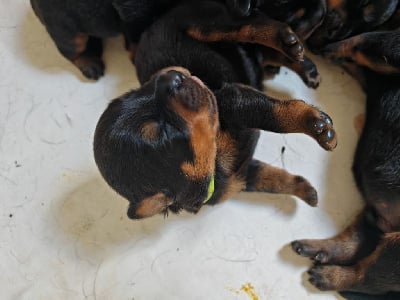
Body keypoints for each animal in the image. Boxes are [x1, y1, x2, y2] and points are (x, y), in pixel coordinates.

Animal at [93, 1, 338, 219]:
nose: (169, 76)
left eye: (146, 88)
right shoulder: (243, 175)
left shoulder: (231, 99)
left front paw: (315, 125)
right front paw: (306, 191)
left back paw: (289, 38)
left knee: (247, 26)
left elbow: (274, 115)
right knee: (266, 51)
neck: (215, 156)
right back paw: (303, 63)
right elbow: (272, 178)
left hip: (203, 23)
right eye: (161, 130)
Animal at [290, 31, 400, 296]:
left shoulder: (388, 48)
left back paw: (323, 276)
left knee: (368, 274)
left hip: (396, 247)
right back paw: (310, 249)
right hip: (377, 215)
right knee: (359, 238)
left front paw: (327, 48)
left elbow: (364, 42)